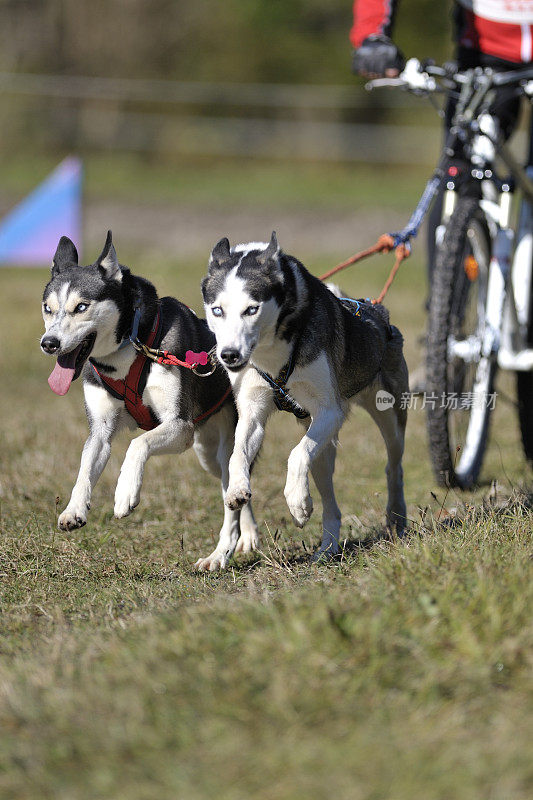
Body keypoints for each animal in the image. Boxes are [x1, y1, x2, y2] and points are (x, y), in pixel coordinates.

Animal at [39, 230, 258, 568]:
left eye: (81, 306)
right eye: (48, 308)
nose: (49, 343)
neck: (129, 351)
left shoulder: (180, 427)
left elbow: (137, 444)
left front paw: (125, 494)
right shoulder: (100, 431)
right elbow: (85, 467)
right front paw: (73, 510)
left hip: (226, 443)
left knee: (234, 489)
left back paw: (220, 554)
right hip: (207, 453)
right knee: (237, 491)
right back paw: (245, 535)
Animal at [201, 228, 408, 560]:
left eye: (251, 309)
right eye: (217, 310)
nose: (229, 355)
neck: (273, 352)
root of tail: (377, 311)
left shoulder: (330, 411)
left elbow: (297, 453)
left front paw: (297, 504)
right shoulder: (252, 409)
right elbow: (238, 453)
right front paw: (236, 490)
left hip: (388, 411)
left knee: (393, 464)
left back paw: (395, 518)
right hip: (323, 446)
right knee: (328, 492)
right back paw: (328, 546)